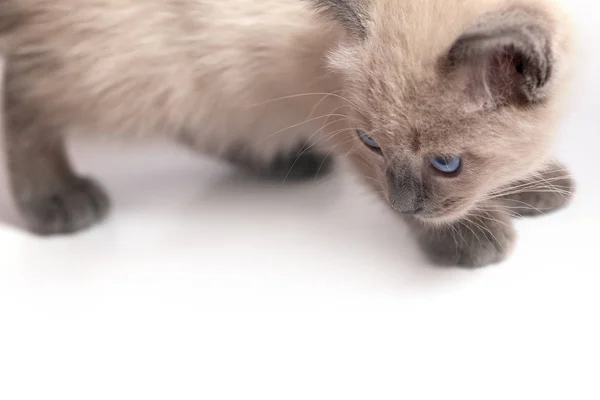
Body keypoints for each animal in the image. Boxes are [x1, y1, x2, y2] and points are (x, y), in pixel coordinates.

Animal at [1, 1, 576, 268]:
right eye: (372, 144)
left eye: (445, 164)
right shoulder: (335, 115)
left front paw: (535, 183)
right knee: (20, 99)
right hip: (124, 75)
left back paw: (281, 161)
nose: (405, 203)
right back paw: (56, 199)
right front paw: (469, 234)